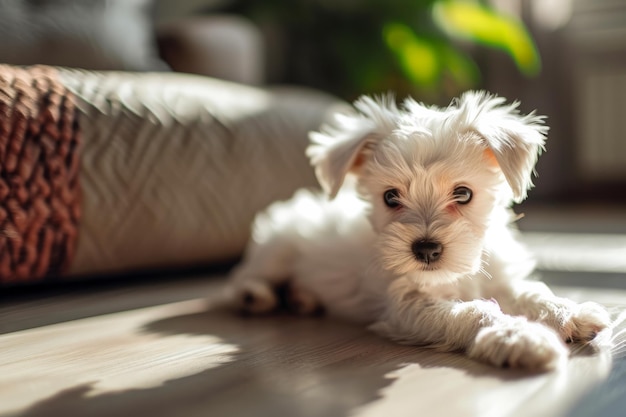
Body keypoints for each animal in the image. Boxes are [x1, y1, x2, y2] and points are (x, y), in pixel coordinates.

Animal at [224, 90, 608, 368]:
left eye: (463, 193)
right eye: (390, 197)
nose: (426, 249)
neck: (457, 275)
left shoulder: (501, 277)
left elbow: (531, 292)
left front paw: (566, 312)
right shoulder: (406, 305)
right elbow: (474, 313)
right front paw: (517, 337)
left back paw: (302, 298)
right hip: (276, 250)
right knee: (243, 277)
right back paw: (256, 295)